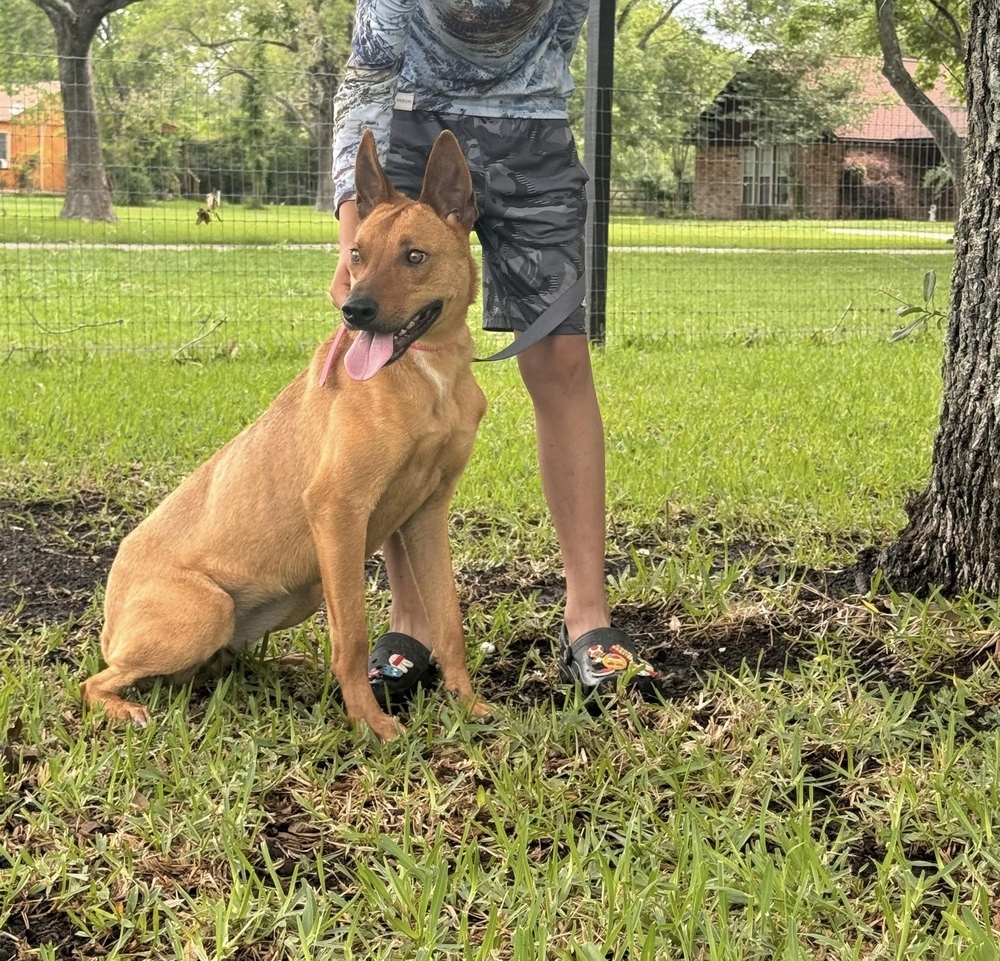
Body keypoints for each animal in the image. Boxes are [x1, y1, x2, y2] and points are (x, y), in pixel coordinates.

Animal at [84, 129, 490, 744]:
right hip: (207, 611)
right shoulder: (337, 510)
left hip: (291, 599)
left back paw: (280, 668)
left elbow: (449, 622)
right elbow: (351, 636)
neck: (429, 375)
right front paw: (369, 723)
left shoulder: (427, 514)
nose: (354, 312)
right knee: (97, 680)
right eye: (356, 255)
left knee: (213, 666)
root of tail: (111, 618)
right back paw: (122, 707)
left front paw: (467, 706)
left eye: (415, 256)